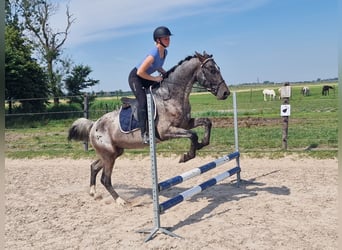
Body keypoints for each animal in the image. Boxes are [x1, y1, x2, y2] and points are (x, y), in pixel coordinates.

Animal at [67, 51, 230, 206]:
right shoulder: (166, 132)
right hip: (109, 154)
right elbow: (193, 135)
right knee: (105, 179)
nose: (225, 93)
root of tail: (94, 125)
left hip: (114, 152)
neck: (170, 96)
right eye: (211, 70)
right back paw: (122, 202)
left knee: (94, 166)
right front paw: (186, 156)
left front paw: (201, 144)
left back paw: (94, 193)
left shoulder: (185, 123)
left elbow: (207, 123)